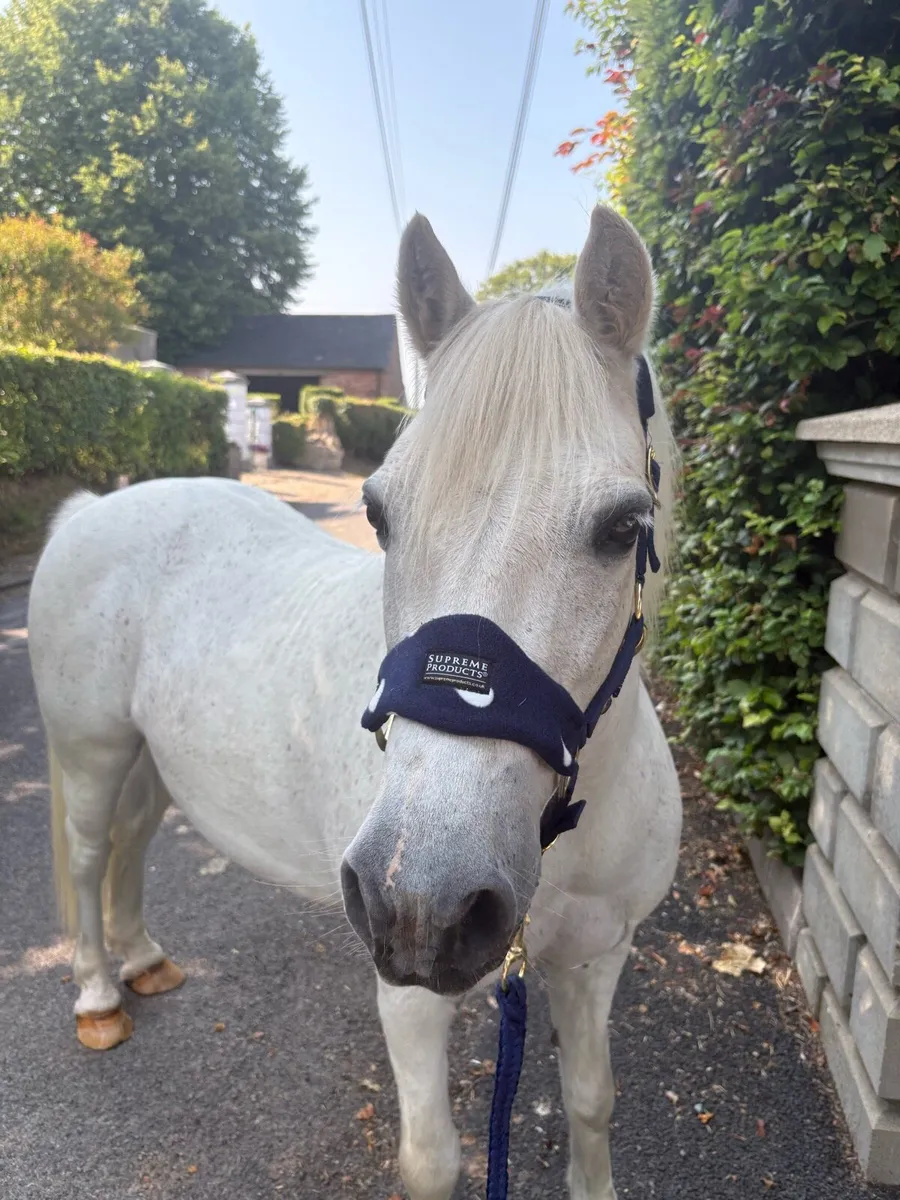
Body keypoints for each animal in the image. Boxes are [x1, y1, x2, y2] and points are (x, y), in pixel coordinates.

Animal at [27, 204, 682, 1200]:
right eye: (378, 515)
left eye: (623, 528)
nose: (420, 901)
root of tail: (93, 508)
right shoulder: (410, 996)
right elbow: (434, 1160)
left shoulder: (597, 960)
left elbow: (590, 1104)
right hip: (92, 751)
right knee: (92, 853)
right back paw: (101, 995)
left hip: (153, 760)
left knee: (132, 847)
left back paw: (145, 963)